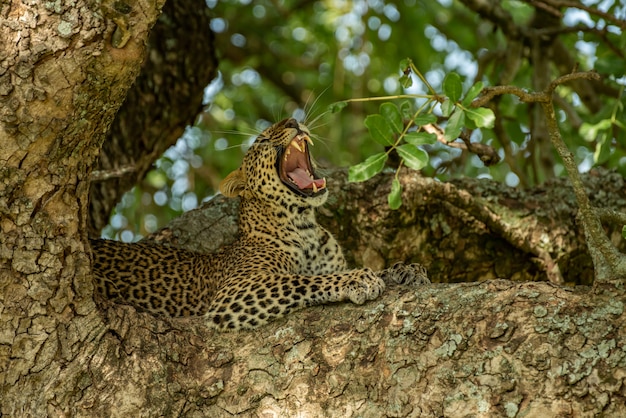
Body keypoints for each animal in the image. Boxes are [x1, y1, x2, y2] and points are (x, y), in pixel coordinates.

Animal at [90, 117, 426, 330]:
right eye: (263, 140)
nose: (293, 121)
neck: (305, 226)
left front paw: (406, 269)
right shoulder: (236, 291)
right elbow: (300, 281)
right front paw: (357, 279)